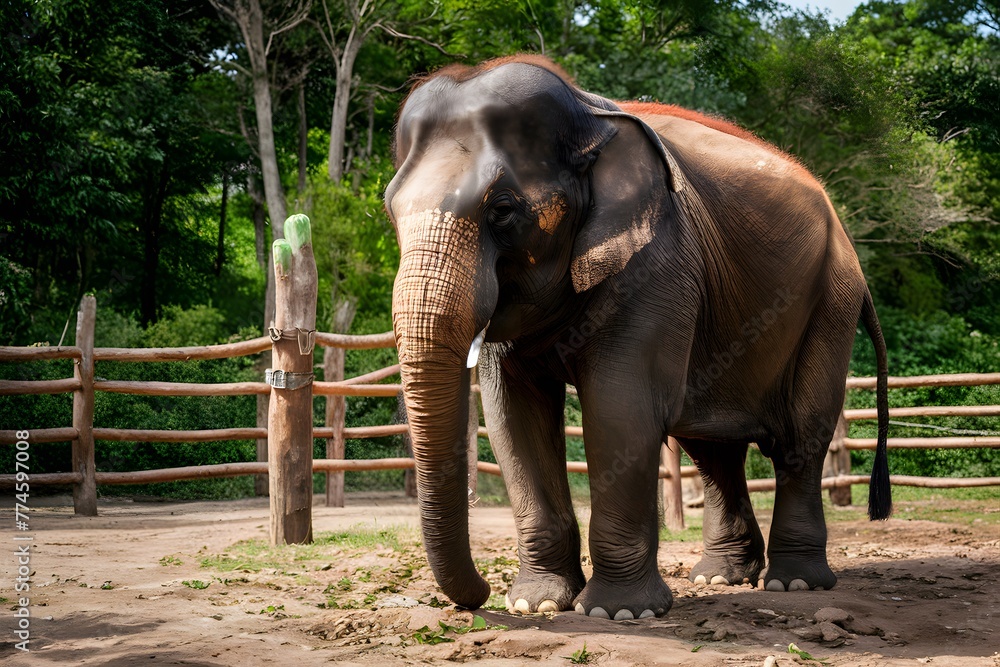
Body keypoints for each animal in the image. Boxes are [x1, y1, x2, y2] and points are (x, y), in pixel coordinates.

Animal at [385, 54, 891, 620]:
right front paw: (537, 605)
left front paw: (618, 613)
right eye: (390, 210)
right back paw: (720, 577)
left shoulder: (658, 259)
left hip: (830, 301)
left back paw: (795, 584)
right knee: (713, 446)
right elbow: (514, 417)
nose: (480, 599)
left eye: (503, 210)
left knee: (800, 438)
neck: (588, 116)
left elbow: (621, 405)